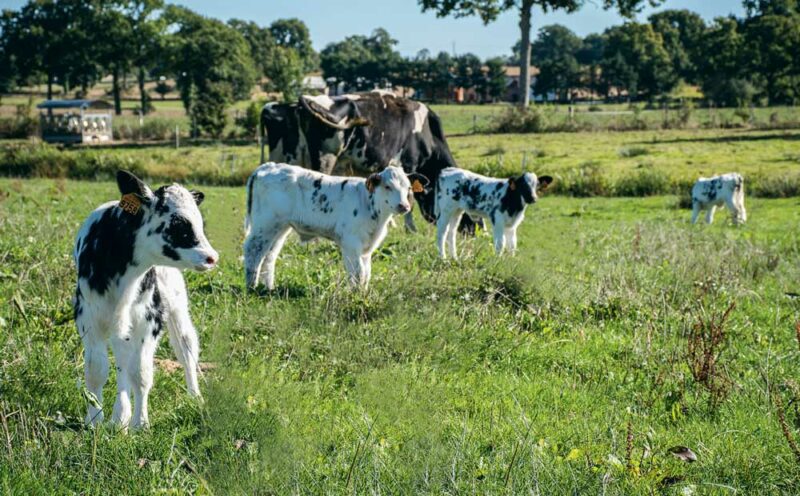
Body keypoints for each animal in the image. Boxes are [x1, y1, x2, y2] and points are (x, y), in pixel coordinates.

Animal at [74, 170, 217, 430]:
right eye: (178, 223)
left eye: (200, 222)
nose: (211, 257)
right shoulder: (87, 316)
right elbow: (96, 370)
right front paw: (95, 420)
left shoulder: (150, 318)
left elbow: (141, 373)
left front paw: (140, 423)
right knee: (122, 356)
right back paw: (120, 415)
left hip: (176, 305)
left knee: (186, 348)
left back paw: (195, 397)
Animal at [260, 91, 478, 232]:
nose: (472, 231)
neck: (427, 134)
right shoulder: (407, 163)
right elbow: (409, 198)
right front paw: (410, 228)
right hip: (325, 157)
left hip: (285, 157)